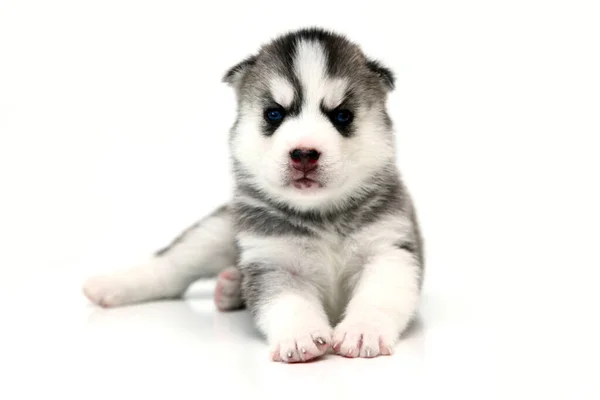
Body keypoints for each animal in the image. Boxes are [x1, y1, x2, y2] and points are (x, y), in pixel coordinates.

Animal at [83, 28, 422, 362]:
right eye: (273, 114)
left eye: (342, 116)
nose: (304, 154)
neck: (322, 214)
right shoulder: (273, 259)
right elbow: (288, 301)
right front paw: (300, 335)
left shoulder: (389, 248)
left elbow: (379, 295)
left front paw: (364, 330)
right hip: (216, 232)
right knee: (171, 267)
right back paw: (111, 285)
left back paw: (231, 287)